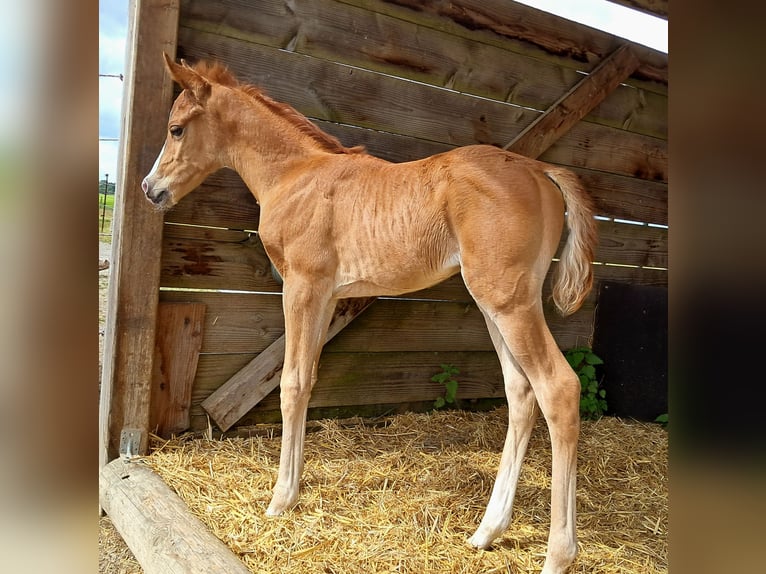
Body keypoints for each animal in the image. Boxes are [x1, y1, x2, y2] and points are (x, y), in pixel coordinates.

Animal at [142, 53, 597, 574]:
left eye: (176, 129)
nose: (149, 189)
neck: (294, 175)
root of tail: (542, 170)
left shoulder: (302, 286)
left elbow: (291, 383)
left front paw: (280, 498)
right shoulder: (327, 295)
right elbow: (308, 380)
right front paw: (295, 485)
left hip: (508, 300)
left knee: (558, 388)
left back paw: (558, 554)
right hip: (493, 302)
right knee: (521, 393)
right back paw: (487, 531)